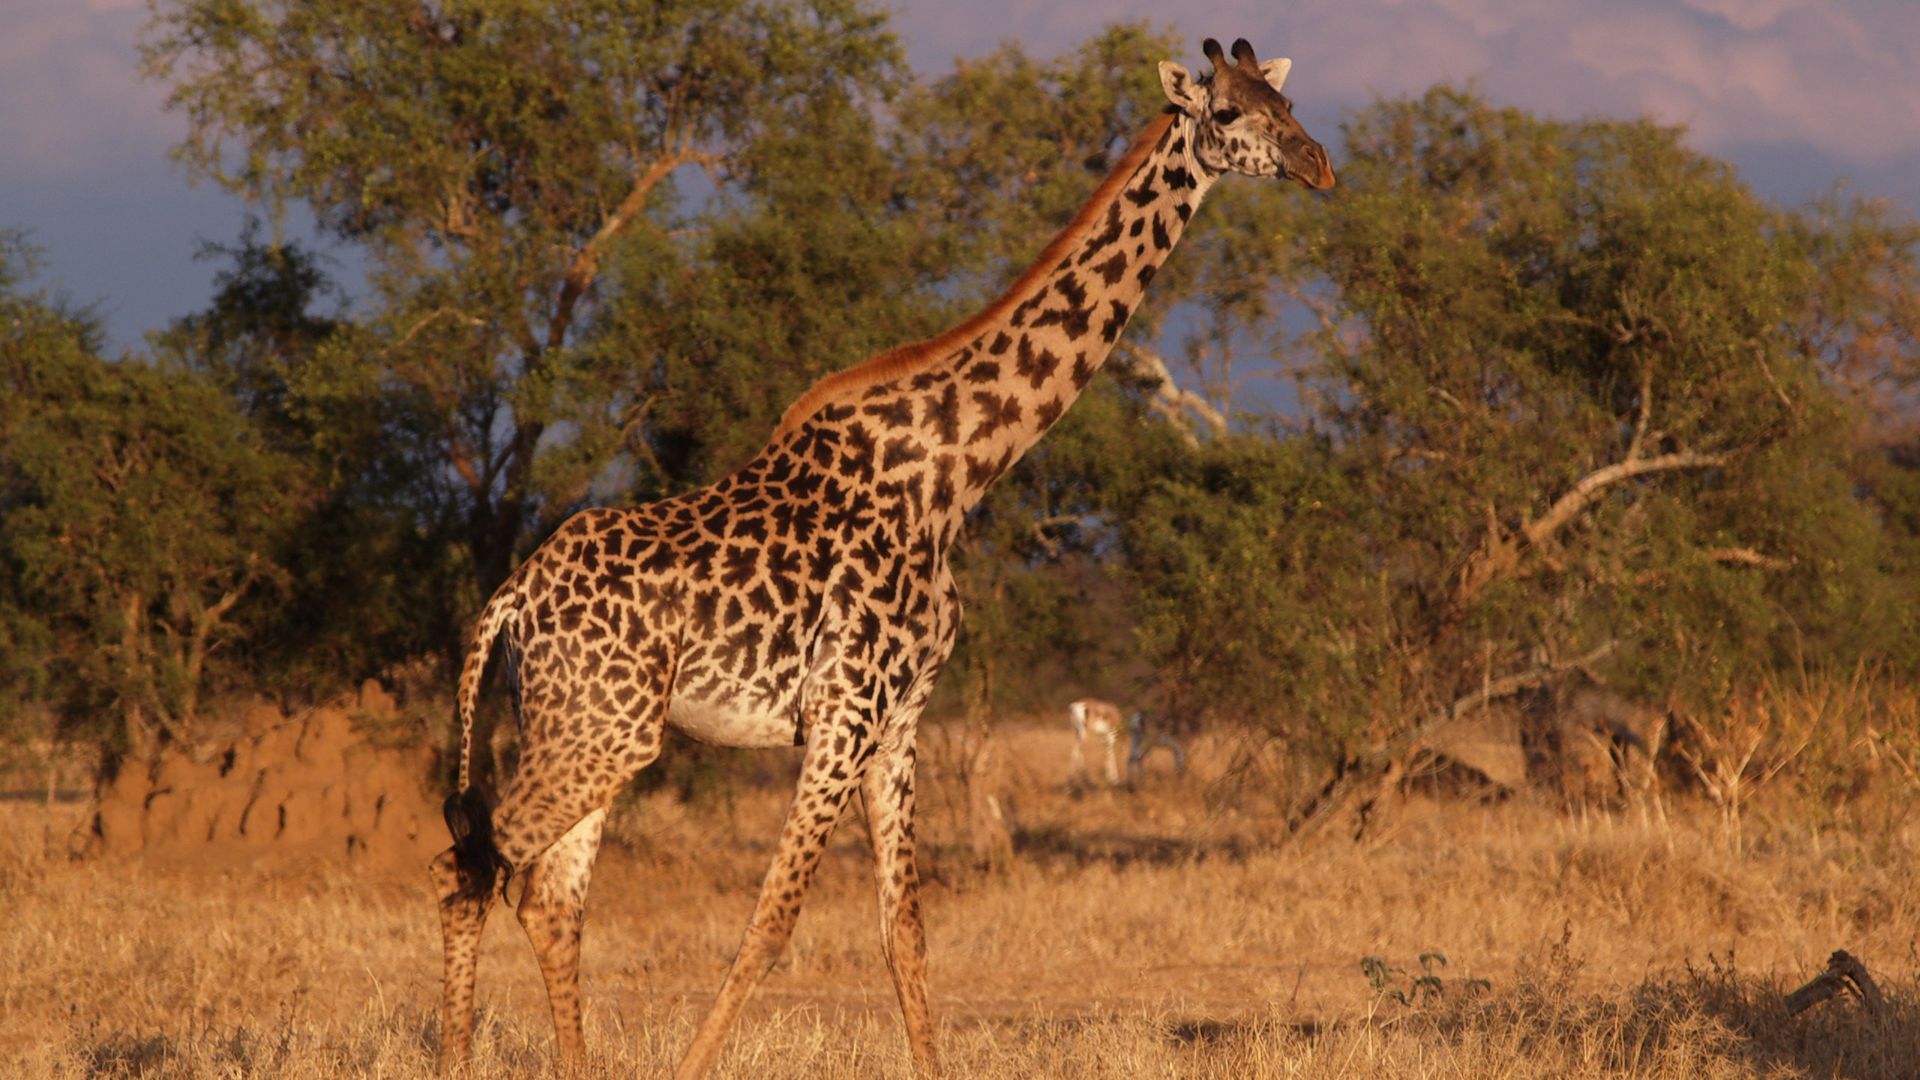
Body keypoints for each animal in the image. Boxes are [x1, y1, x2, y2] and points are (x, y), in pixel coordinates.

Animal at [431, 36, 1333, 1079]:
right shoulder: (842, 712)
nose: (1318, 164)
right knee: (473, 869)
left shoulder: (897, 721)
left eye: (1287, 102)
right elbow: (771, 924)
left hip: (590, 733)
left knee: (547, 896)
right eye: (1227, 114)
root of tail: (508, 599)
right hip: (602, 732)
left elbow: (904, 931)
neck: (955, 469)